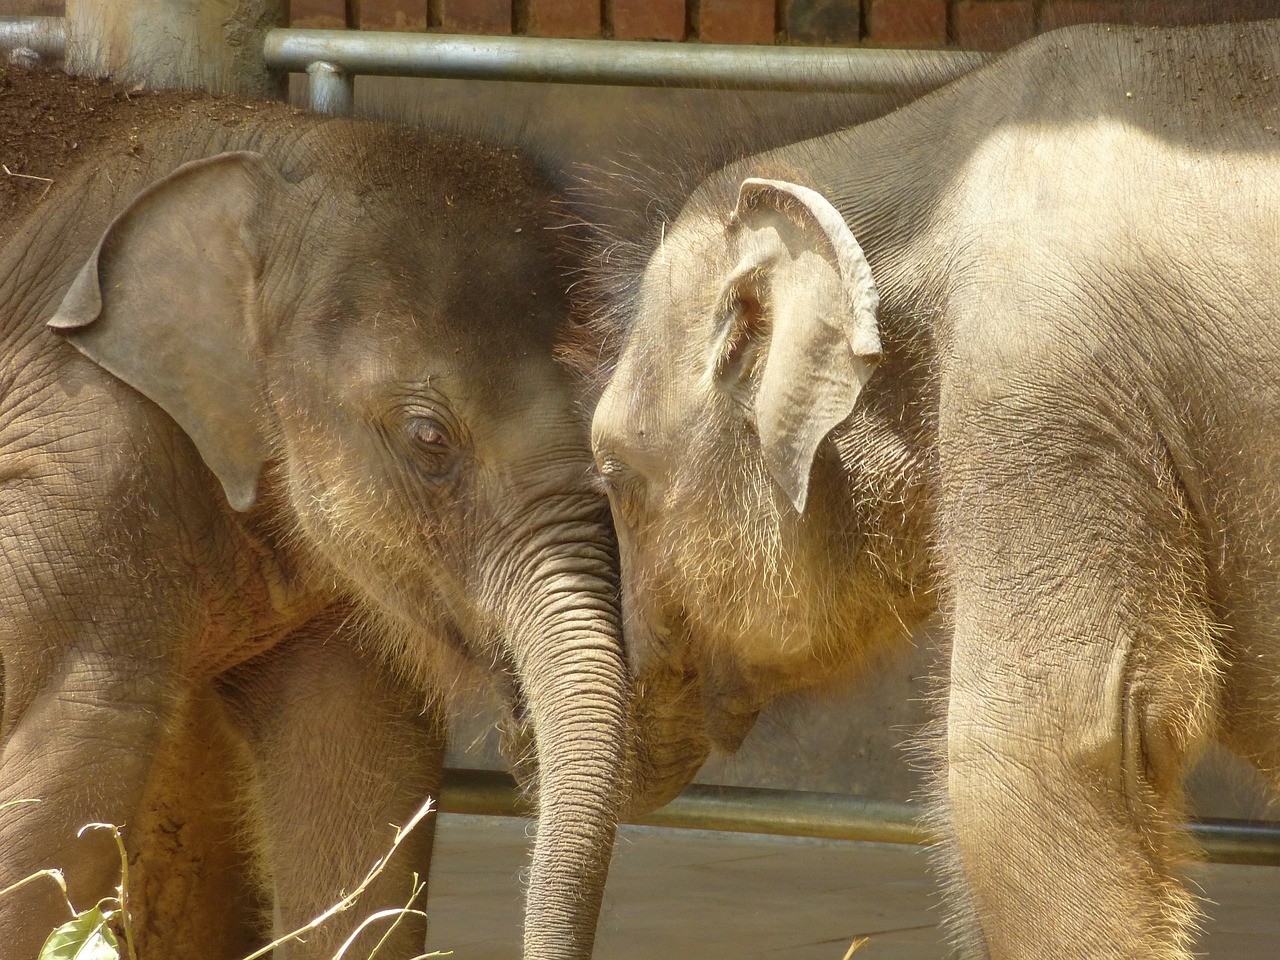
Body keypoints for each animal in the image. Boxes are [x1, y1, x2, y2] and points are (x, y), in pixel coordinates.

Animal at [0, 79, 634, 957]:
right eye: (428, 437)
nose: (520, 739)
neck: (284, 149)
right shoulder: (82, 462)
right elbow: (64, 779)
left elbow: (361, 792)